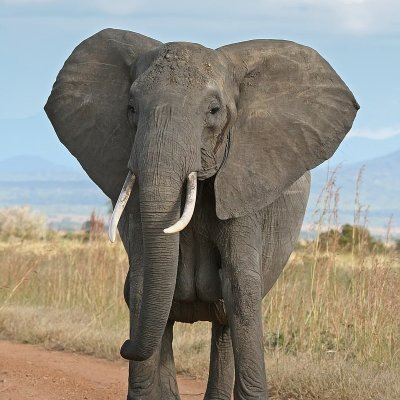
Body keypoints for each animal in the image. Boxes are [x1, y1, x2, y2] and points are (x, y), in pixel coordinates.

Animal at [44, 28, 360, 400]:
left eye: (213, 110)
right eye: (131, 109)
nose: (123, 345)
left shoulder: (245, 184)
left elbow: (241, 288)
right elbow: (142, 283)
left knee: (224, 320)